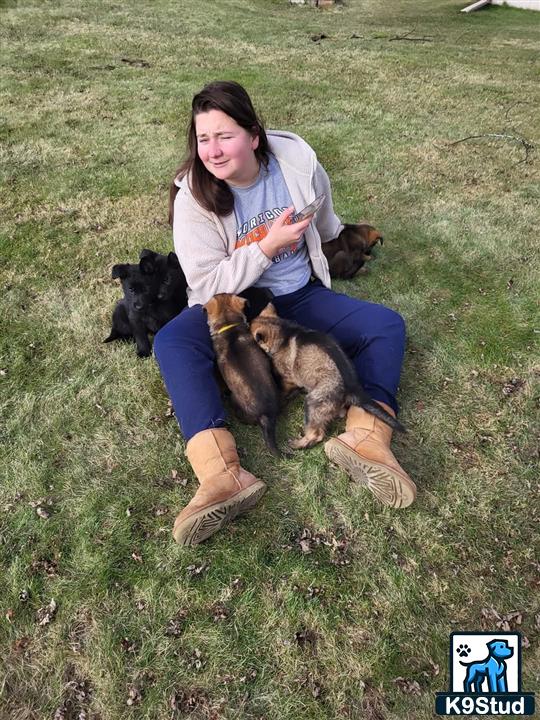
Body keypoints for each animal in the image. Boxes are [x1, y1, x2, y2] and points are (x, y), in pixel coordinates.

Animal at [251, 304, 402, 450]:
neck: (283, 330)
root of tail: (353, 389)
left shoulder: (288, 378)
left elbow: (283, 388)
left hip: (313, 402)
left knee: (316, 434)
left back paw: (298, 444)